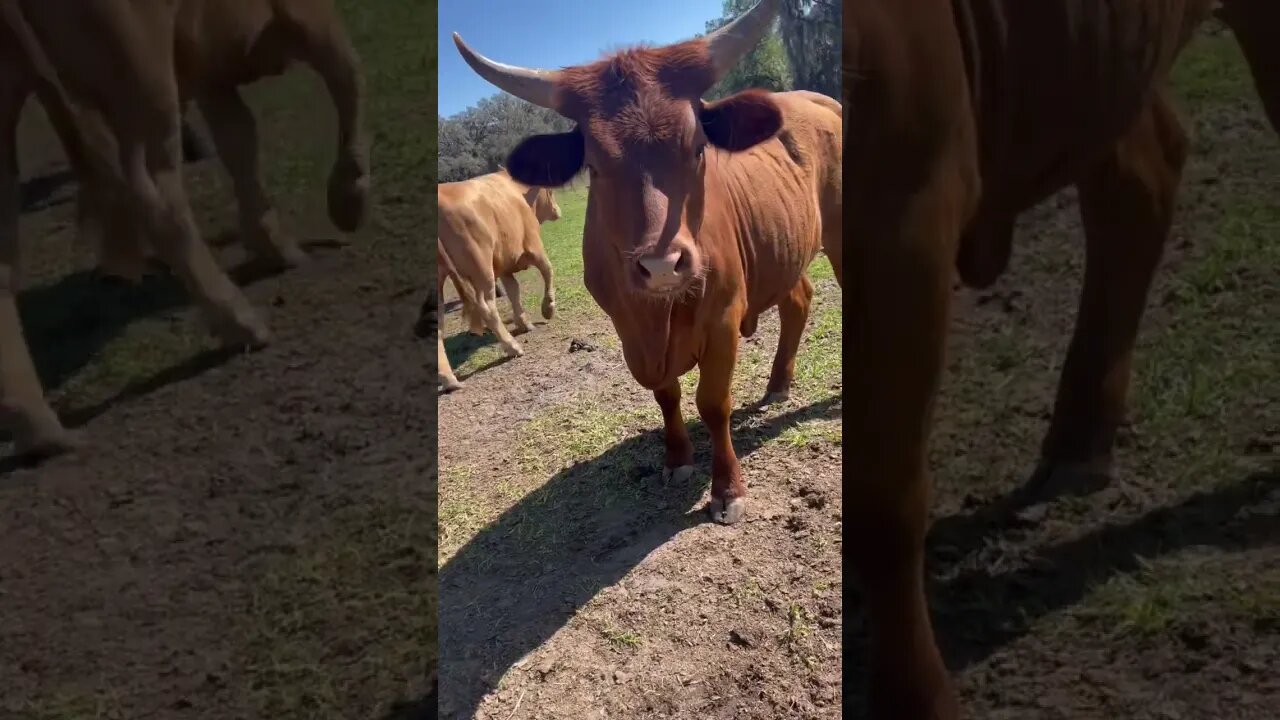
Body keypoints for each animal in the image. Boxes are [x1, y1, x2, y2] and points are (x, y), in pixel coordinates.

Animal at [437, 167, 558, 363]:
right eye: (550, 191)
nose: (557, 210)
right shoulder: (534, 245)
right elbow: (548, 270)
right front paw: (548, 308)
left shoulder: (505, 267)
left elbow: (514, 290)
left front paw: (523, 322)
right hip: (482, 269)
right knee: (487, 307)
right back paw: (512, 347)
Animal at [455, 0, 844, 520]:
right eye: (594, 166)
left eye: (698, 148)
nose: (662, 265)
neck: (659, 314)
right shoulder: (627, 327)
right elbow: (666, 393)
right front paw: (677, 458)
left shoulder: (723, 316)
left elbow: (712, 402)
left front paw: (727, 489)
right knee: (798, 299)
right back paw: (779, 382)